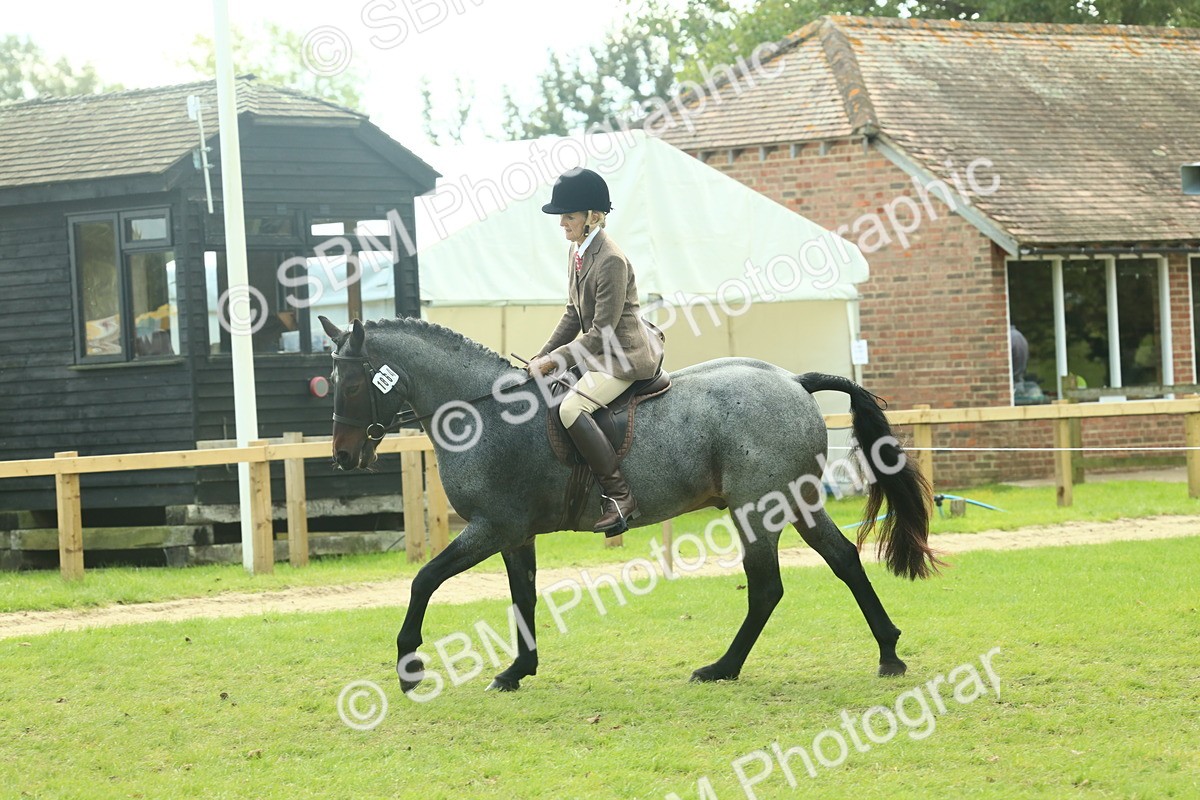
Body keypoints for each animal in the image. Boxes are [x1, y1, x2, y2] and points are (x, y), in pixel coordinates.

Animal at [318, 315, 939, 693]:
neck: (484, 412)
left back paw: (722, 668)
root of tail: (794, 380)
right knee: (843, 560)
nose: (343, 457)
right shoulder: (515, 534)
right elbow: (523, 597)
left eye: (349, 384)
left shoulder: (491, 527)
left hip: (757, 509)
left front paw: (409, 665)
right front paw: (518, 670)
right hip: (797, 501)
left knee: (767, 587)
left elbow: (424, 580)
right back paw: (888, 653)